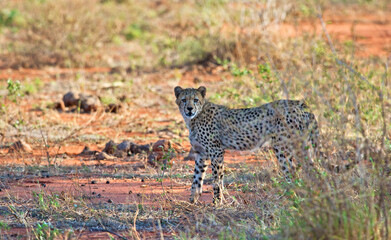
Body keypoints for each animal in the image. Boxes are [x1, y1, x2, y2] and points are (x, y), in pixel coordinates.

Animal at [176, 85, 350, 203]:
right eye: (183, 100)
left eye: (195, 100)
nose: (189, 109)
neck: (194, 118)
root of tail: (300, 103)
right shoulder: (201, 153)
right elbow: (196, 178)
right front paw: (192, 200)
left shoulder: (216, 151)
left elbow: (217, 180)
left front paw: (217, 203)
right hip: (301, 146)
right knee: (313, 170)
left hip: (282, 147)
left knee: (293, 172)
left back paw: (290, 197)